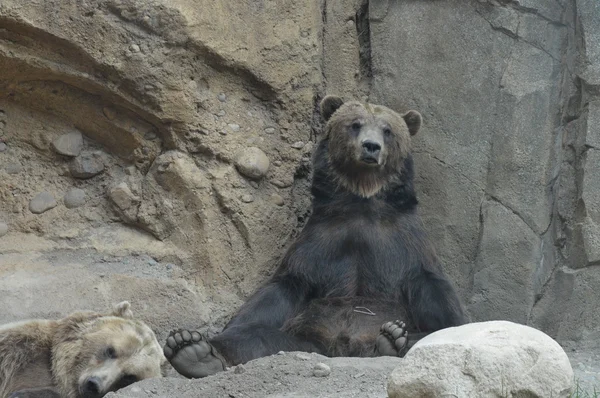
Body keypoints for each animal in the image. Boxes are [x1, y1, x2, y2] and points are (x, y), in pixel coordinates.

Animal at [163, 95, 468, 378]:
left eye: (388, 129)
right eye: (355, 124)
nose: (371, 146)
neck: (362, 200)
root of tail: (339, 348)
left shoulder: (403, 243)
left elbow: (440, 301)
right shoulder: (321, 240)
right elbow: (280, 290)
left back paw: (393, 339)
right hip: (303, 337)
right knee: (255, 337)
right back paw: (193, 350)